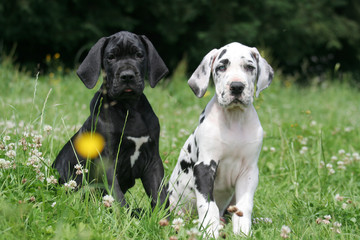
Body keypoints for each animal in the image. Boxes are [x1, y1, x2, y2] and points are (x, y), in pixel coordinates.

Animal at [53, 31, 169, 209]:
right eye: (111, 57)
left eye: (139, 55)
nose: (127, 76)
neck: (128, 108)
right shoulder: (106, 160)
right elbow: (117, 196)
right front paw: (125, 215)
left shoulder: (152, 160)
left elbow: (160, 195)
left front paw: (163, 216)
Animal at [169, 42, 272, 237]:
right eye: (221, 67)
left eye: (249, 67)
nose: (237, 86)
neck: (234, 120)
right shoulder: (204, 167)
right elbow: (209, 206)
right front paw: (209, 232)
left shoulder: (249, 172)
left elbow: (244, 206)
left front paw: (243, 231)